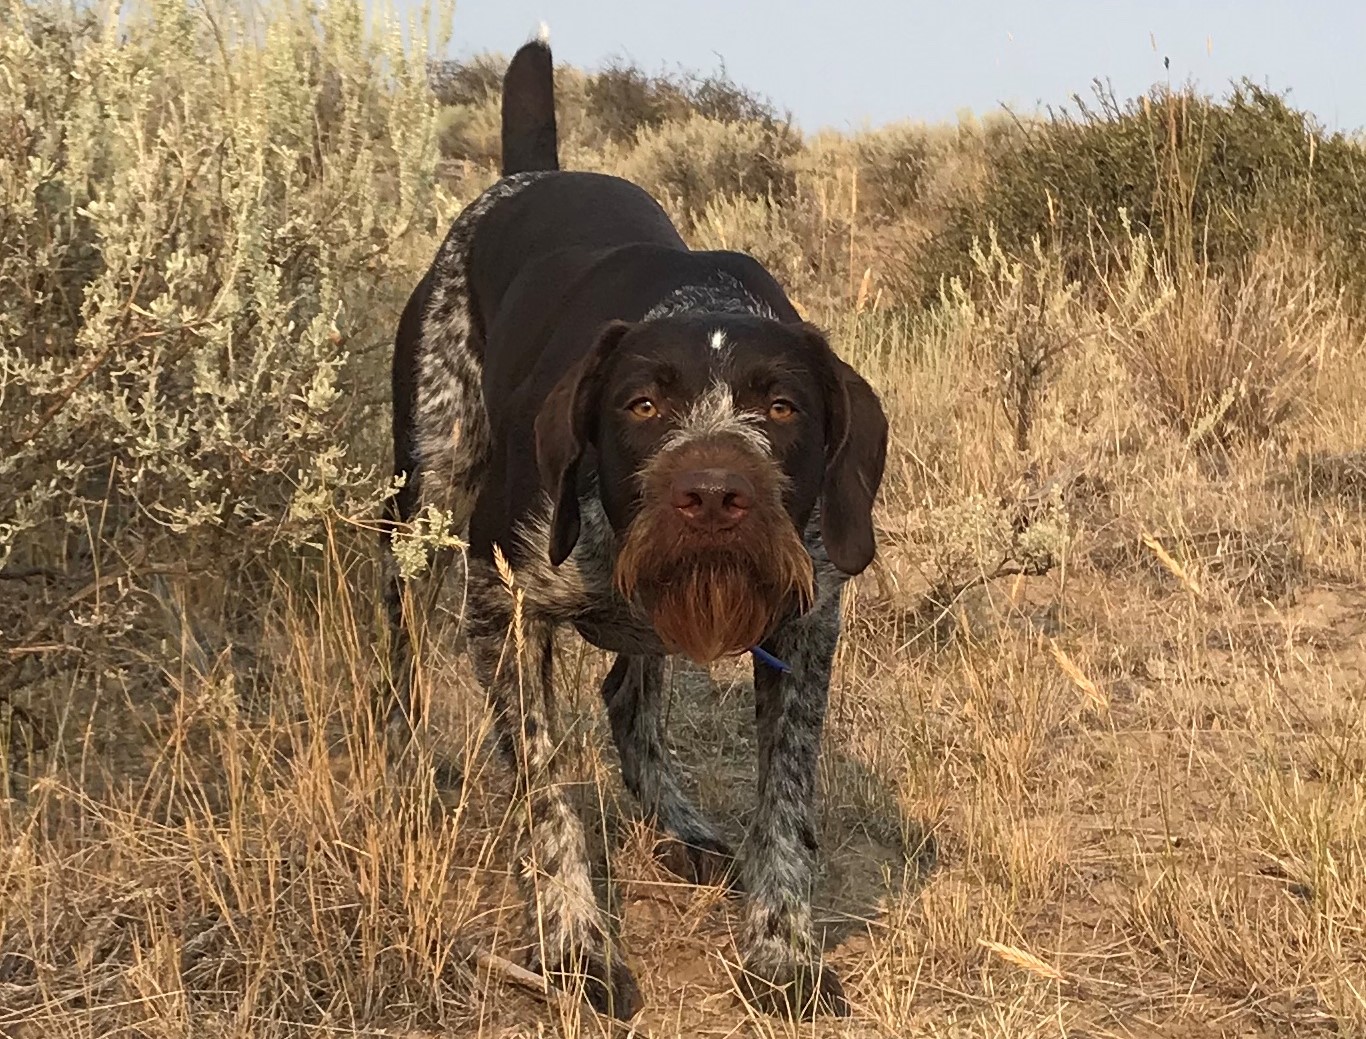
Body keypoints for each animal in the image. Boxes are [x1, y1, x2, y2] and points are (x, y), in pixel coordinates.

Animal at [387, 32, 885, 1021]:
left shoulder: (806, 619)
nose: (714, 495)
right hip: (425, 487)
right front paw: (574, 941)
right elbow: (546, 797)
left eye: (781, 407)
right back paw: (405, 760)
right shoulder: (502, 605)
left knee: (629, 694)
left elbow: (786, 793)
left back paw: (681, 822)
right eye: (641, 405)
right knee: (399, 634)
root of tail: (531, 174)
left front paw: (782, 948)